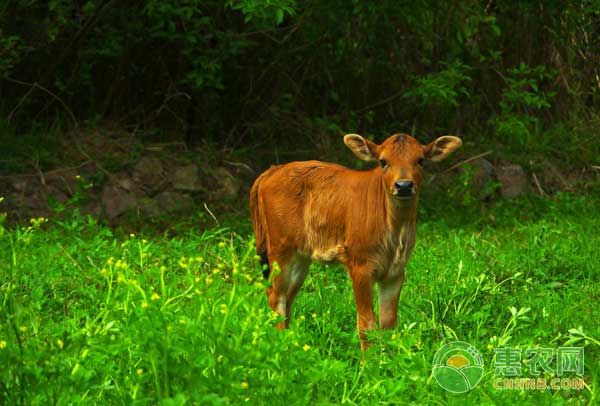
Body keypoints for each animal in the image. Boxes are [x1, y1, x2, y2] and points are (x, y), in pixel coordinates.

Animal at [247, 132, 460, 348]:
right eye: (383, 161)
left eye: (420, 160)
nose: (404, 186)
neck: (394, 234)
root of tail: (272, 170)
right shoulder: (360, 266)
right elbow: (367, 327)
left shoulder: (396, 271)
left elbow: (389, 325)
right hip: (279, 249)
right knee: (276, 297)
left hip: (300, 257)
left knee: (287, 299)